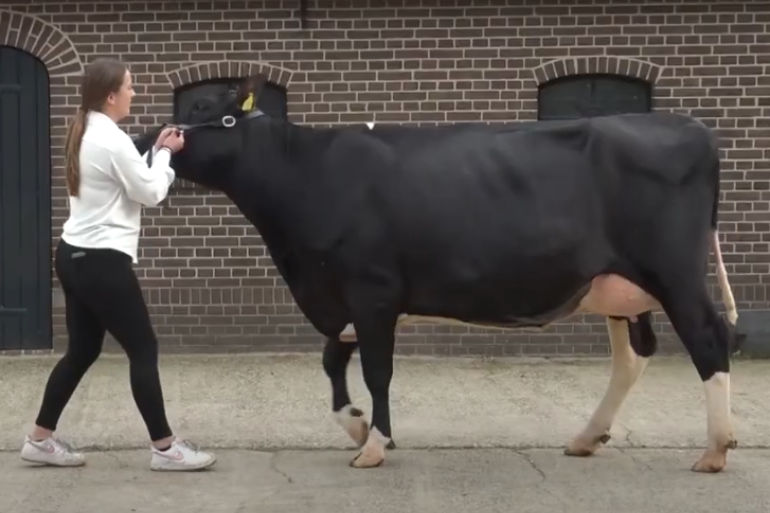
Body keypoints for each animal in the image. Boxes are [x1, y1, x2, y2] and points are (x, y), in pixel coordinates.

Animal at [136, 75, 736, 472]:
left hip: (676, 273)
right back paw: (587, 437)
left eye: (203, 104)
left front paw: (375, 444)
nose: (145, 141)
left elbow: (377, 371)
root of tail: (693, 127)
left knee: (708, 340)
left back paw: (715, 449)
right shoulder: (341, 295)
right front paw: (355, 424)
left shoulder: (372, 290)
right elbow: (333, 361)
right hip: (617, 286)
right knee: (631, 357)